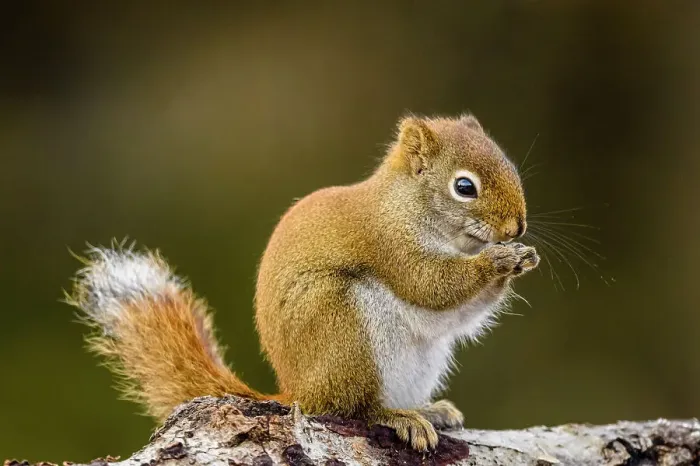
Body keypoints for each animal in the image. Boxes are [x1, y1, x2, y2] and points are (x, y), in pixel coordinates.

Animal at [67, 113, 539, 452]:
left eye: (510, 166)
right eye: (464, 187)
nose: (516, 227)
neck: (406, 206)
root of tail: (297, 393)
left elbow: (456, 314)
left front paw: (523, 258)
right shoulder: (388, 244)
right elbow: (431, 284)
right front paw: (498, 260)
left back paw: (428, 410)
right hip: (343, 329)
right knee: (352, 410)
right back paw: (395, 417)